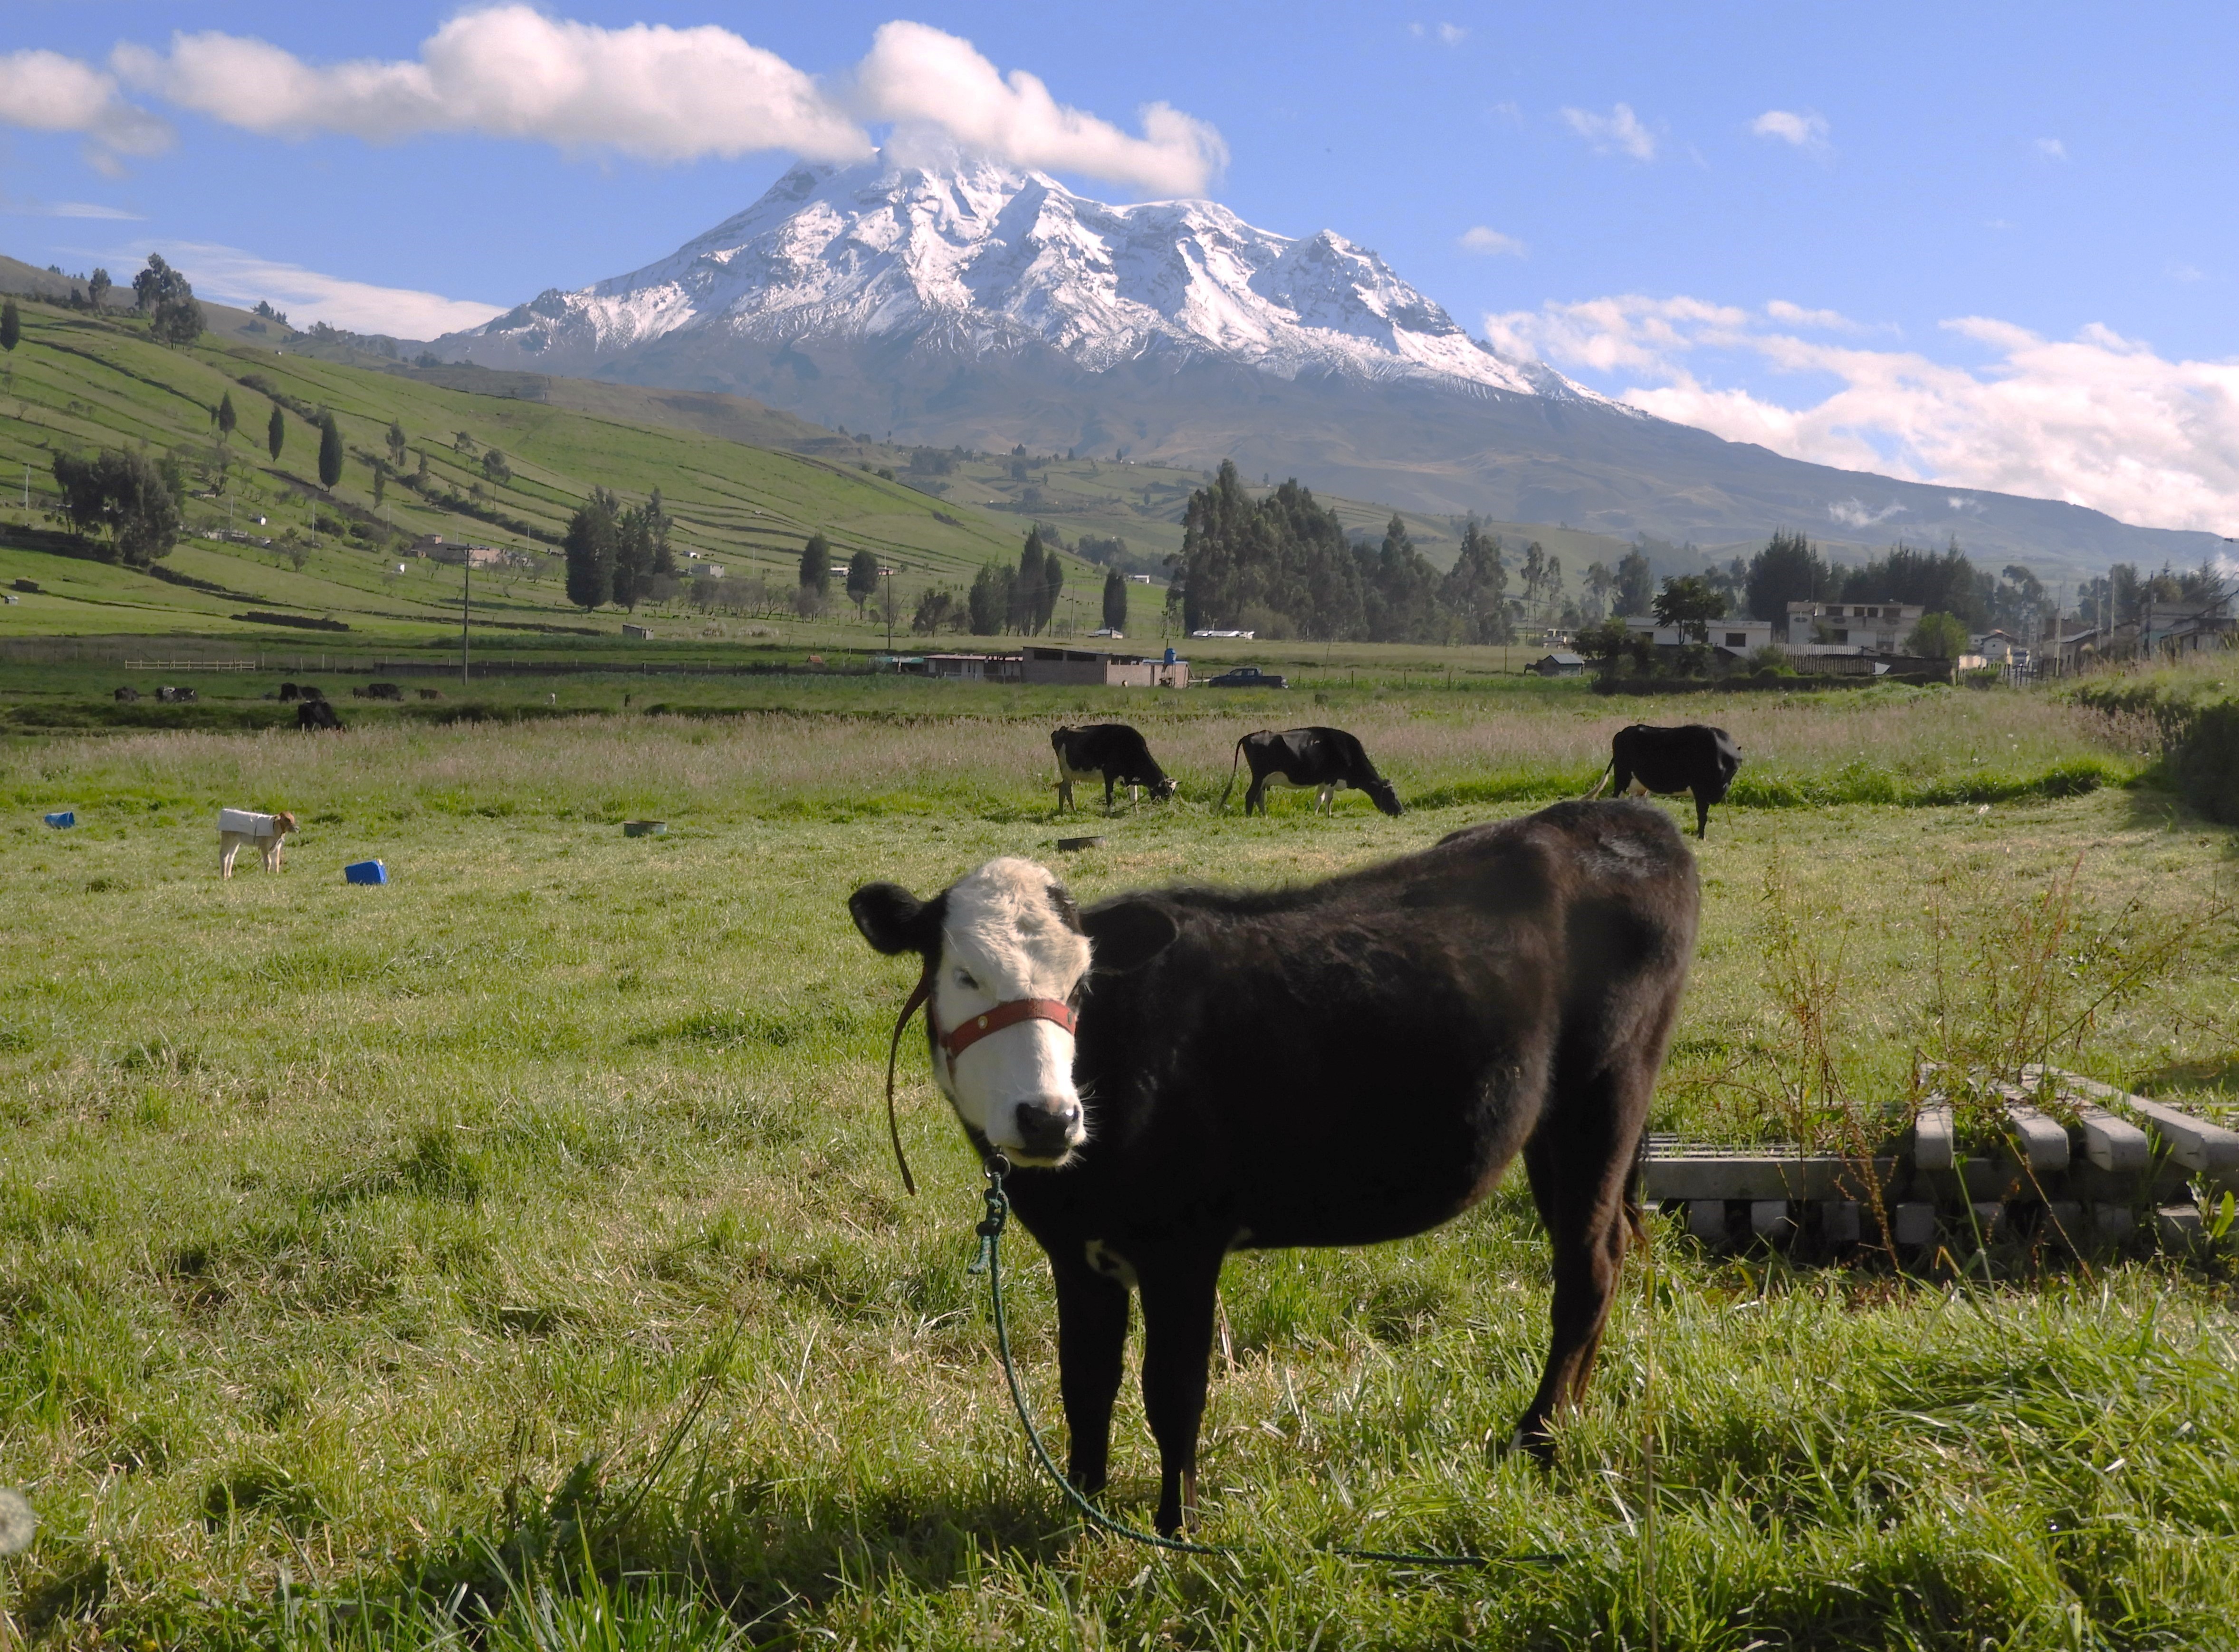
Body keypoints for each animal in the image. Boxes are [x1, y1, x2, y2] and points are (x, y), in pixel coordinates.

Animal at [851, 797, 1693, 1531]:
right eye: (964, 974)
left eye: (1083, 983)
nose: (1049, 1117)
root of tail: (1617, 814)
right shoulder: (1077, 1251)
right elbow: (1084, 1381)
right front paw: (1081, 1509)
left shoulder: (1183, 1246)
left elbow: (1173, 1390)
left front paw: (1176, 1529)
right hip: (1552, 1128)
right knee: (1604, 1251)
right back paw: (1566, 1417)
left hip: (1605, 1095)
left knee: (1587, 1267)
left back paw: (1537, 1437)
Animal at [1052, 721, 1182, 810]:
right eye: (1166, 792)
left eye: (1173, 793)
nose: (1168, 807)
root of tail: (1063, 730)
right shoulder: (1108, 775)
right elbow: (1110, 796)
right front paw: (1109, 814)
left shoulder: (1131, 778)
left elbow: (1134, 797)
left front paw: (1136, 814)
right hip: (1067, 772)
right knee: (1069, 791)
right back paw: (1073, 811)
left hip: (1071, 775)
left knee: (1063, 788)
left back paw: (1062, 811)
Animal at [1227, 725, 1397, 819]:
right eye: (1392, 795)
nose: (1401, 811)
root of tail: (1249, 736)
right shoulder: (1332, 779)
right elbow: (1329, 799)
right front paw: (1329, 815)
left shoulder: (1323, 780)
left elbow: (1319, 799)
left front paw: (1315, 814)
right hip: (1259, 776)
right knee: (1251, 795)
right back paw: (1249, 817)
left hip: (1263, 780)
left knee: (1259, 797)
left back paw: (1265, 816)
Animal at [1594, 721, 1746, 837]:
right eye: (1720, 767)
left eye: (1735, 768)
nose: (1723, 788)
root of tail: (1623, 733)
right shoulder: (1700, 791)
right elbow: (1702, 815)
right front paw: (1701, 837)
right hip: (1622, 779)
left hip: (1639, 786)